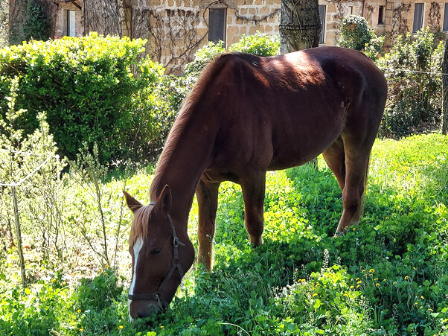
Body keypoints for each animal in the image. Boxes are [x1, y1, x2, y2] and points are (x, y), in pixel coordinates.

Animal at [123, 46, 388, 318]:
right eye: (131, 249)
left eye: (155, 249)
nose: (137, 313)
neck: (222, 112)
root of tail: (367, 62)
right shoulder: (206, 183)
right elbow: (205, 232)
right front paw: (205, 278)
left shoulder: (253, 175)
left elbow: (254, 224)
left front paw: (256, 261)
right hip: (333, 146)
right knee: (352, 189)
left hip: (358, 140)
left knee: (351, 195)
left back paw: (339, 241)